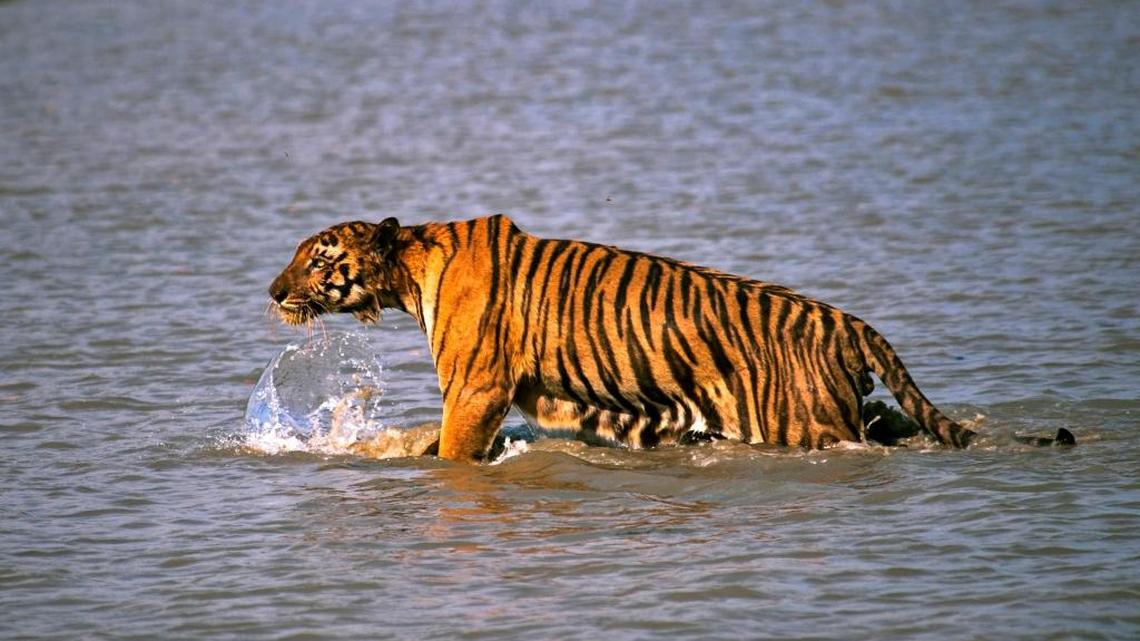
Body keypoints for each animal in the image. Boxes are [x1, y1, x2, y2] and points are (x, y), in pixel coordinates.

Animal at [268, 214, 1071, 462]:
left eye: (318, 256)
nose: (273, 292)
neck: (409, 270)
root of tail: (850, 321)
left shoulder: (476, 388)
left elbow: (450, 452)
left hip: (801, 421)